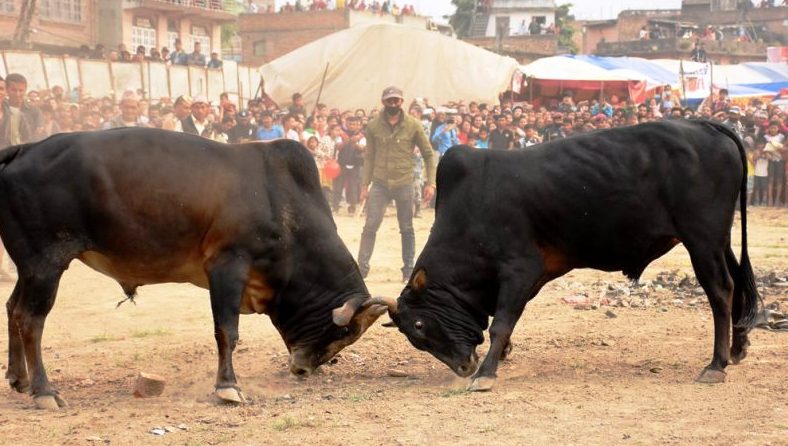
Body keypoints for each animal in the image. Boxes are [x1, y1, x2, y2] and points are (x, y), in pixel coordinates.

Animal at [1, 128, 386, 408]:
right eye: (346, 331)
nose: (304, 369)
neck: (284, 206)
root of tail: (25, 148)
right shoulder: (228, 265)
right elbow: (227, 332)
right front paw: (228, 387)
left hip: (30, 268)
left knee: (12, 308)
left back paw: (19, 379)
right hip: (46, 264)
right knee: (30, 319)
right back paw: (44, 391)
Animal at [376, 118, 764, 390]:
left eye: (420, 325)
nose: (463, 366)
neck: (471, 208)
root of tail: (705, 124)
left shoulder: (519, 269)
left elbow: (501, 323)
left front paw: (485, 374)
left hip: (701, 239)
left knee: (721, 290)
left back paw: (715, 365)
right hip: (718, 241)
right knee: (737, 284)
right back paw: (737, 347)